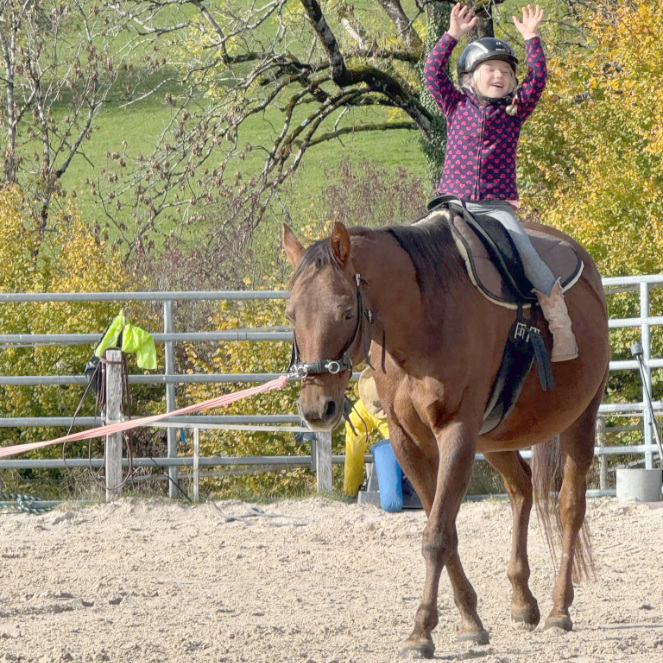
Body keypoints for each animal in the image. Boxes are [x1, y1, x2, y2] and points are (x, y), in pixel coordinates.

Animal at [282, 209, 610, 659]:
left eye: (346, 311)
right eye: (291, 314)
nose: (317, 408)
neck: (422, 319)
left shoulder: (456, 434)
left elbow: (436, 535)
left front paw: (421, 631)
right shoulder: (408, 441)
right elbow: (445, 529)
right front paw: (470, 622)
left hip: (580, 419)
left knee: (570, 507)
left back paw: (560, 609)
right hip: (496, 439)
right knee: (522, 490)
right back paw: (522, 601)